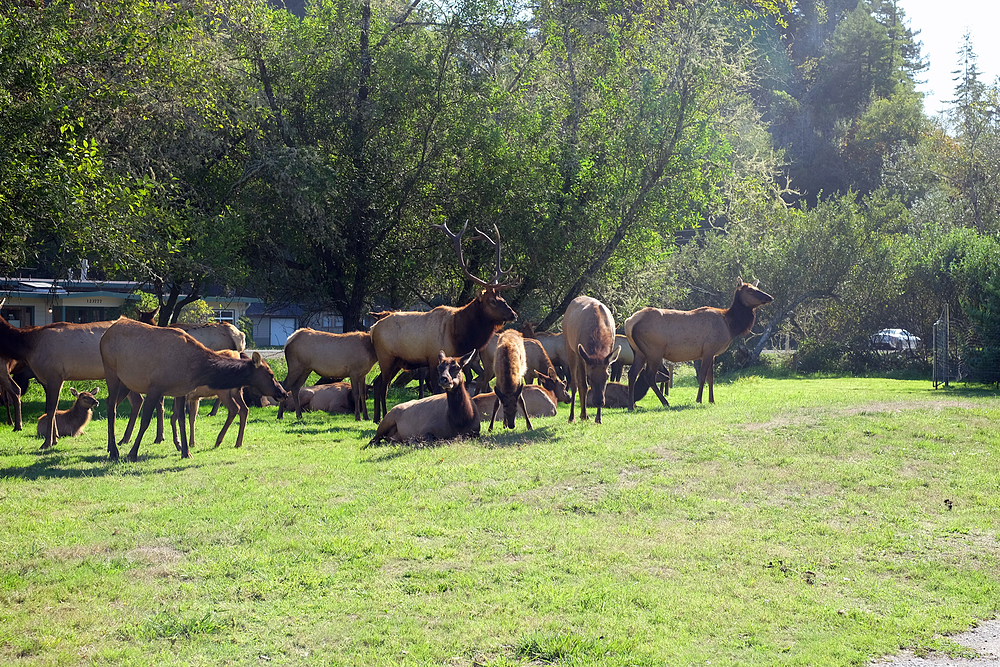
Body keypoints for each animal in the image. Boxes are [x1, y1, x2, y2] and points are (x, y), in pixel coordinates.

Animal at [102, 318, 288, 462]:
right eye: (270, 374)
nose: (284, 393)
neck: (195, 368)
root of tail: (105, 335)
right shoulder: (155, 388)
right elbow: (146, 421)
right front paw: (133, 453)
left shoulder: (181, 391)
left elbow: (182, 420)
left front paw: (186, 451)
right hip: (111, 372)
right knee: (111, 407)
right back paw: (114, 450)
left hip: (125, 382)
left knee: (113, 404)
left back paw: (111, 447)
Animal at [372, 224, 520, 422]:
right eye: (492, 301)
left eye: (502, 297)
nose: (513, 314)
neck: (459, 334)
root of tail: (373, 329)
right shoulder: (433, 359)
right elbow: (436, 389)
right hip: (386, 357)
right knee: (382, 385)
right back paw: (381, 416)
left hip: (395, 361)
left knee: (378, 382)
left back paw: (376, 417)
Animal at [564, 296, 616, 426]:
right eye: (589, 377)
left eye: (607, 376)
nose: (599, 402)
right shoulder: (581, 355)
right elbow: (583, 385)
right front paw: (584, 415)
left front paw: (598, 418)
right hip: (570, 347)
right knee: (574, 383)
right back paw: (573, 417)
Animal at [624, 276, 772, 408]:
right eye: (750, 290)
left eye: (757, 287)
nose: (770, 297)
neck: (730, 325)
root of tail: (629, 322)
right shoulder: (708, 349)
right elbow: (702, 377)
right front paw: (699, 400)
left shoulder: (713, 353)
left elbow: (711, 378)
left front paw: (712, 400)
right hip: (654, 351)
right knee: (649, 376)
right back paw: (665, 402)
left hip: (639, 352)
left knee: (632, 373)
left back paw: (631, 405)